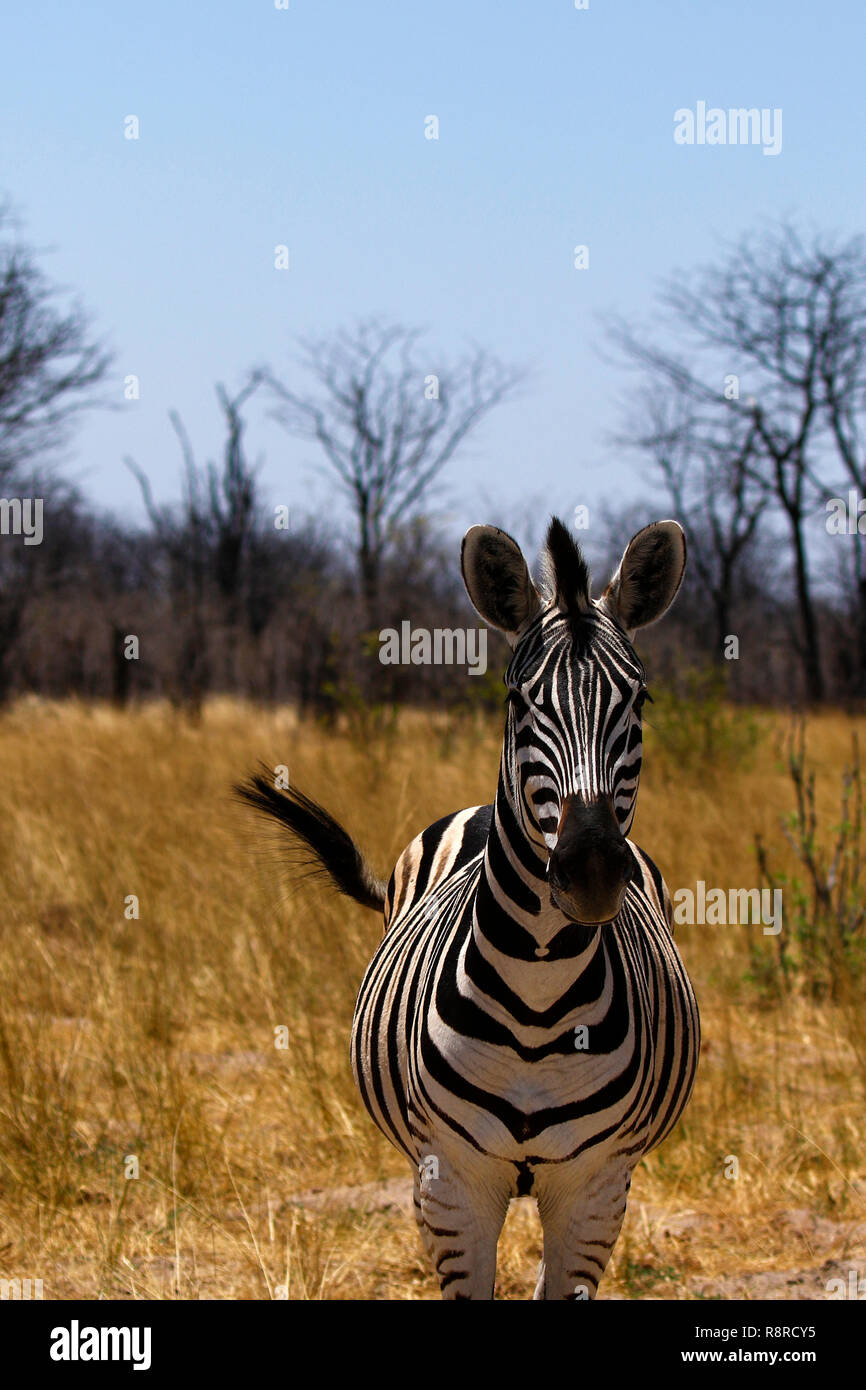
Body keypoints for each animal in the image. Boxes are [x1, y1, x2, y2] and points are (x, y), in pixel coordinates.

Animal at [239, 515, 700, 1300]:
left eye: (638, 702)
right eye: (518, 702)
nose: (591, 872)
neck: (539, 999)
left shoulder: (596, 1187)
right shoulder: (451, 1183)